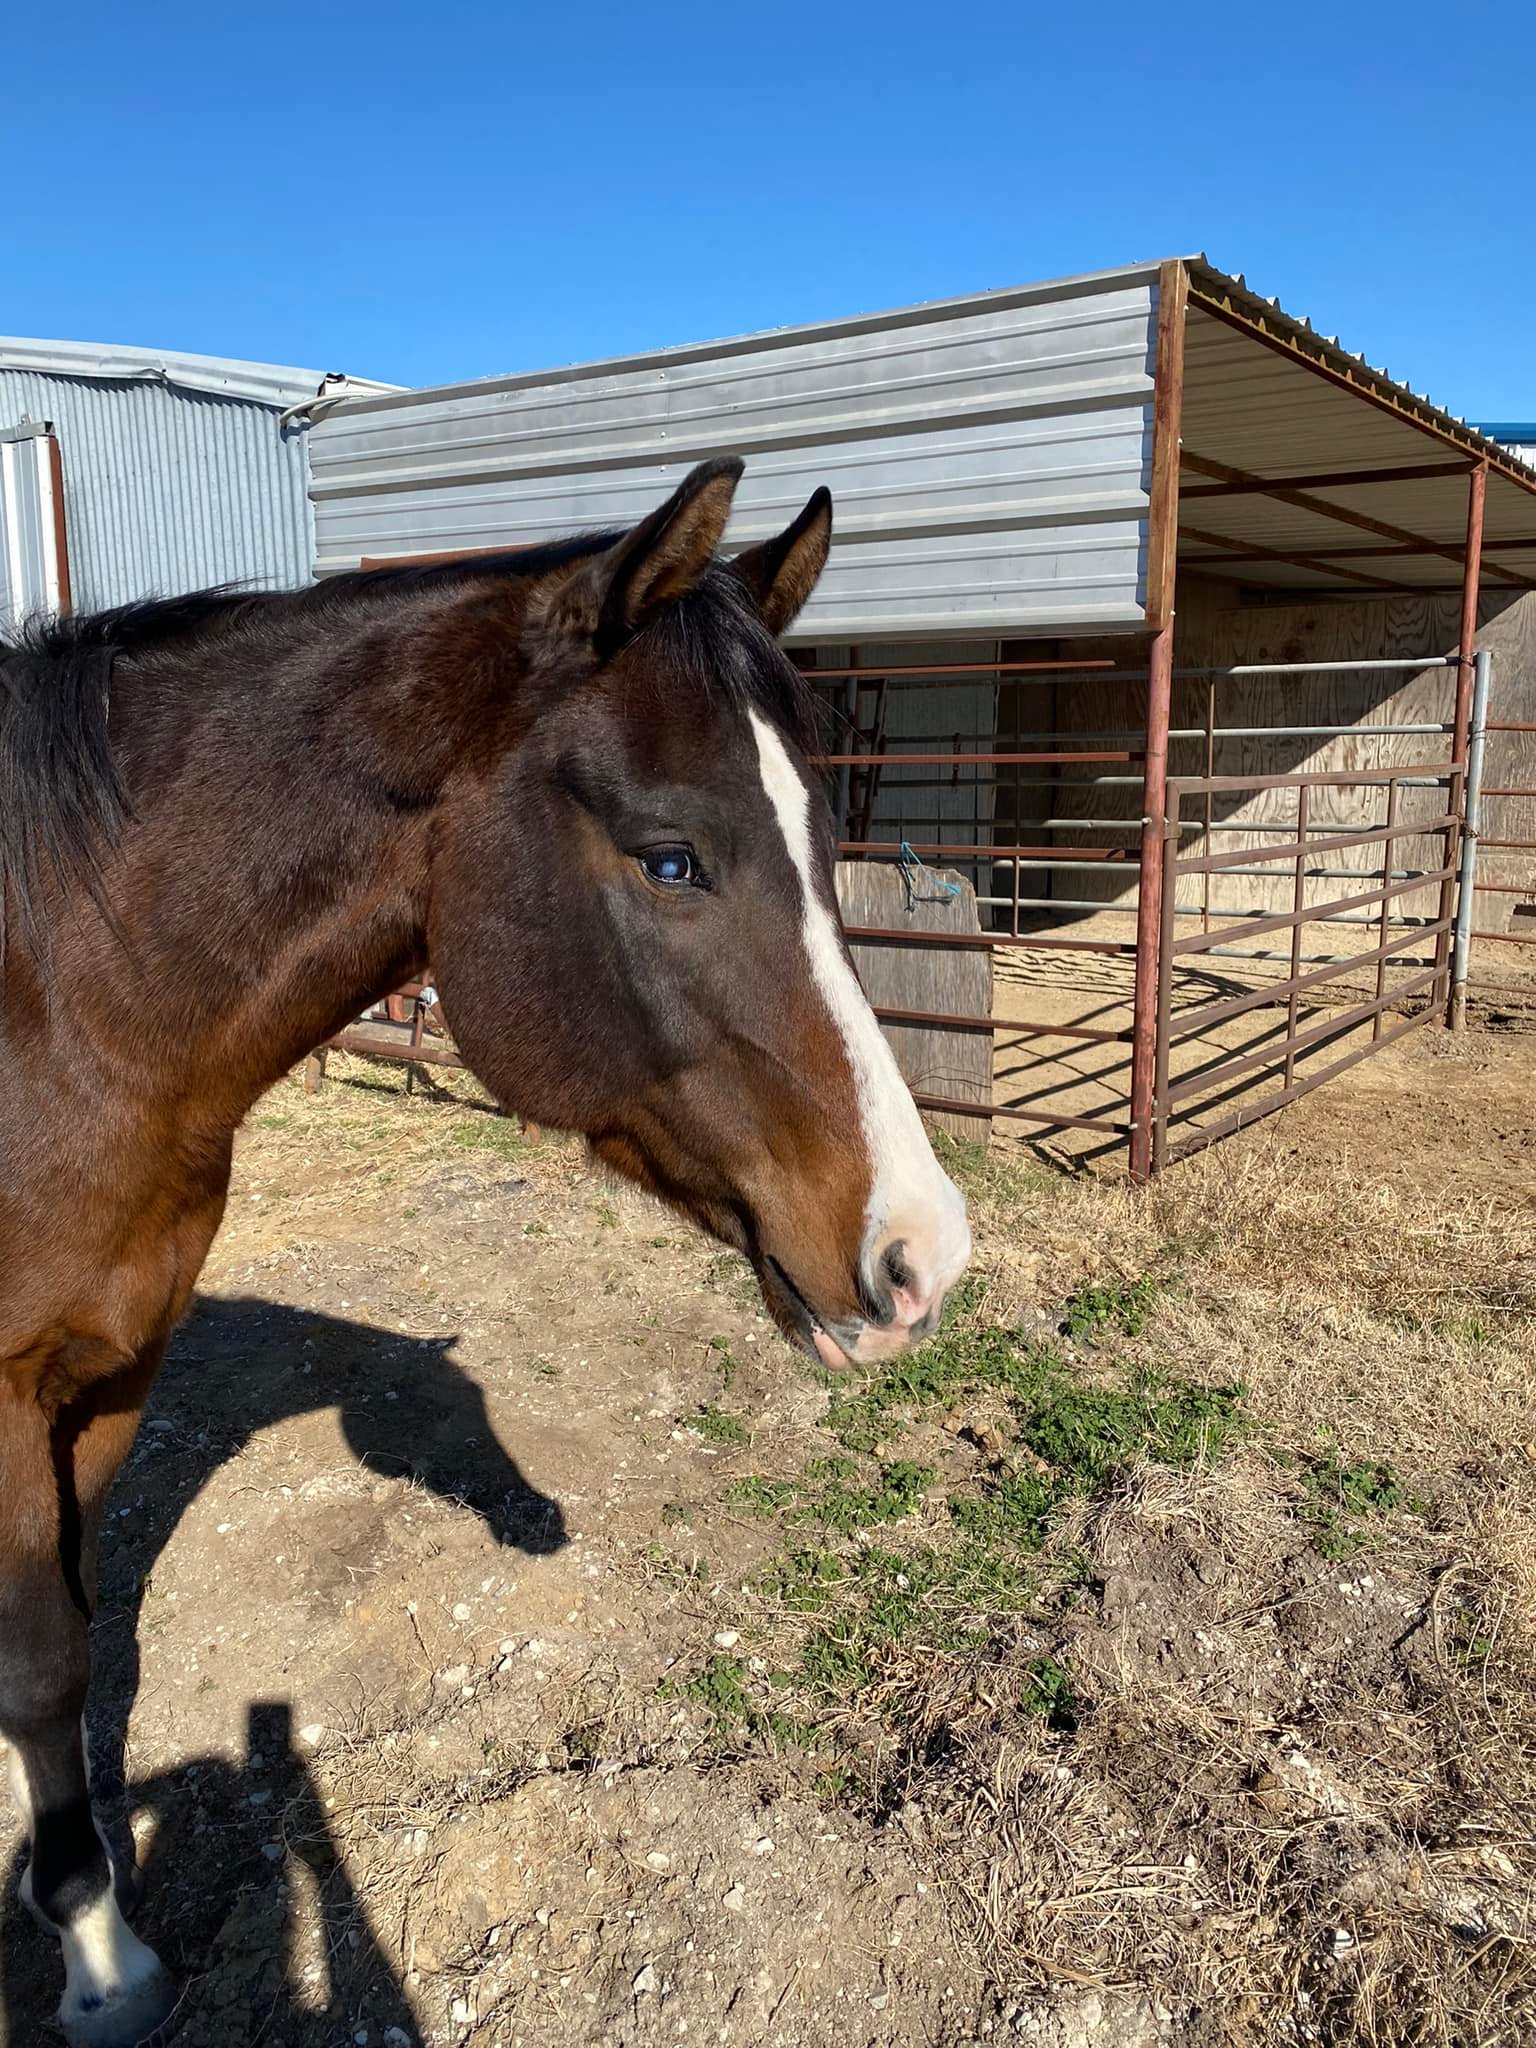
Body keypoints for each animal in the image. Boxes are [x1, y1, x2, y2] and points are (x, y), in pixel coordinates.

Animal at [0, 457, 971, 2046]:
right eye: (670, 857)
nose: (923, 1254)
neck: (54, 1002)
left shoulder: (111, 1373)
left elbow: (67, 1653)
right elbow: (40, 1660)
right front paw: (94, 1958)